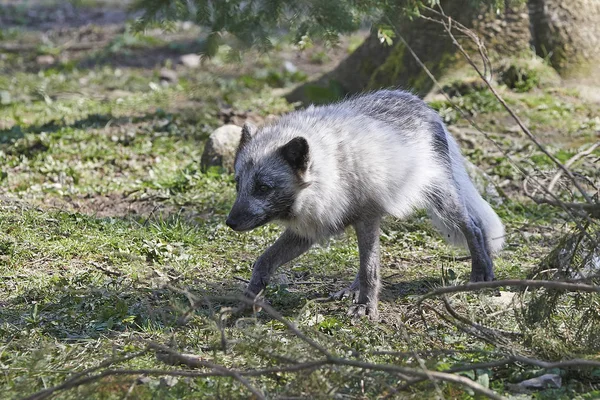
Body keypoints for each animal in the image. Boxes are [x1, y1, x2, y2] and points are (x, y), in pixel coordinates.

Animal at [225, 90, 502, 318]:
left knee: (473, 227)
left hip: (443, 202)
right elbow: (263, 261)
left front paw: (366, 306)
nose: (230, 222)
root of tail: (423, 105)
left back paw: (481, 272)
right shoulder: (309, 232)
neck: (334, 169)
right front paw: (246, 302)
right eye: (238, 185)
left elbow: (371, 270)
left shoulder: (367, 218)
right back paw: (352, 288)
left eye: (263, 188)